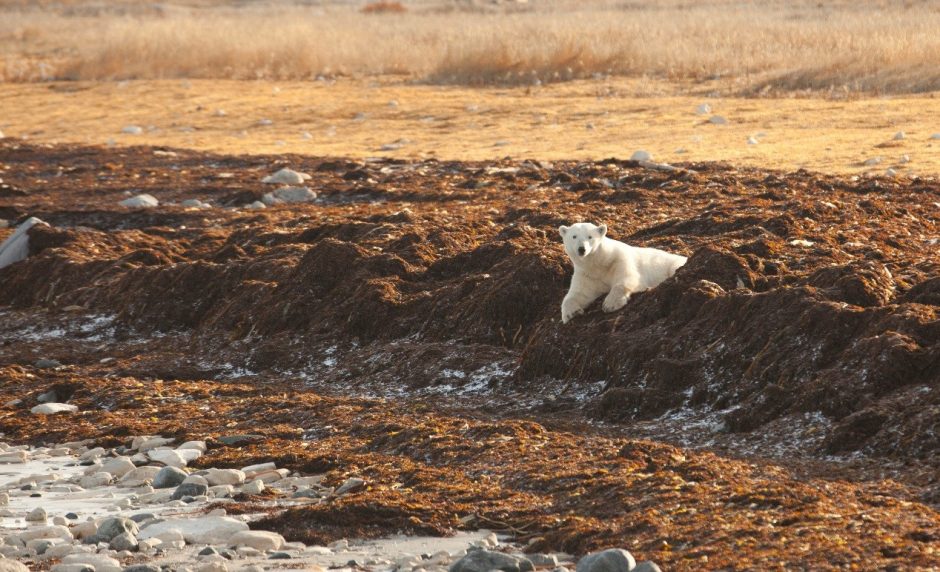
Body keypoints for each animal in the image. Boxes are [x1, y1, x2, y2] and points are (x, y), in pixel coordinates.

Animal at [556, 221, 688, 324]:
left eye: (590, 237)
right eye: (574, 236)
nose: (582, 249)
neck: (599, 263)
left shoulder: (618, 260)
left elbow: (628, 278)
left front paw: (610, 304)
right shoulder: (587, 274)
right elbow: (580, 293)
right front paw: (571, 313)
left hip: (672, 263)